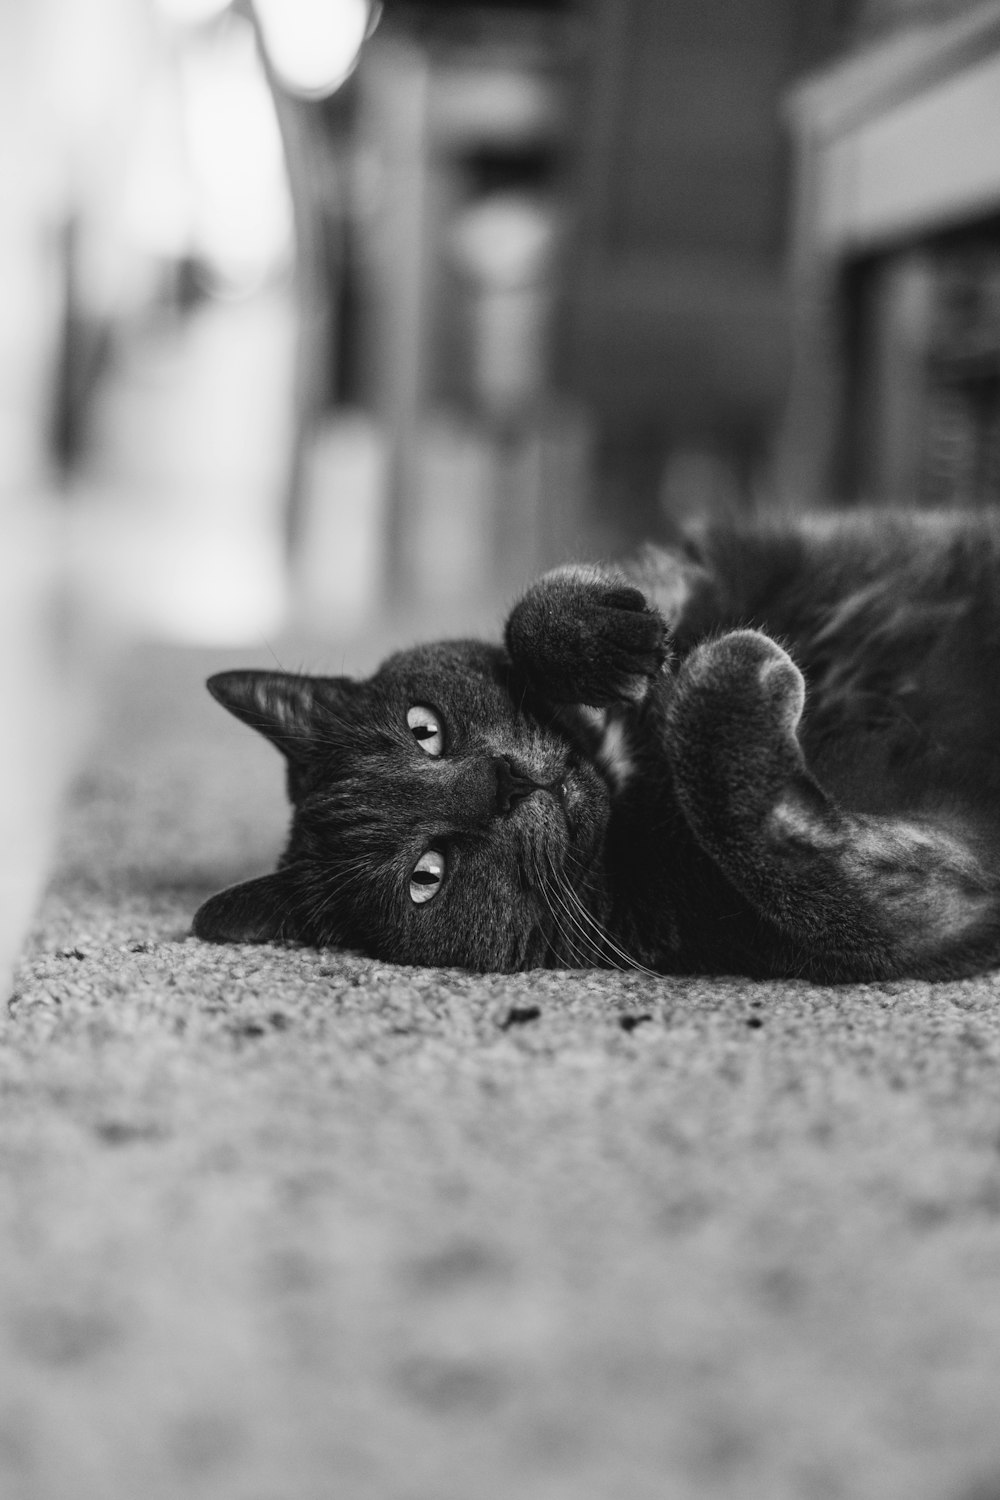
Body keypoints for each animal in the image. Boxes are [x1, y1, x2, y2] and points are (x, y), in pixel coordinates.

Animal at [189, 510, 1000, 984]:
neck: (629, 776)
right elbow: (804, 873)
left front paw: (605, 644)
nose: (506, 784)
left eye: (425, 730)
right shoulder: (936, 899)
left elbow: (536, 601)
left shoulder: (691, 571)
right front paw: (738, 678)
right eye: (426, 876)